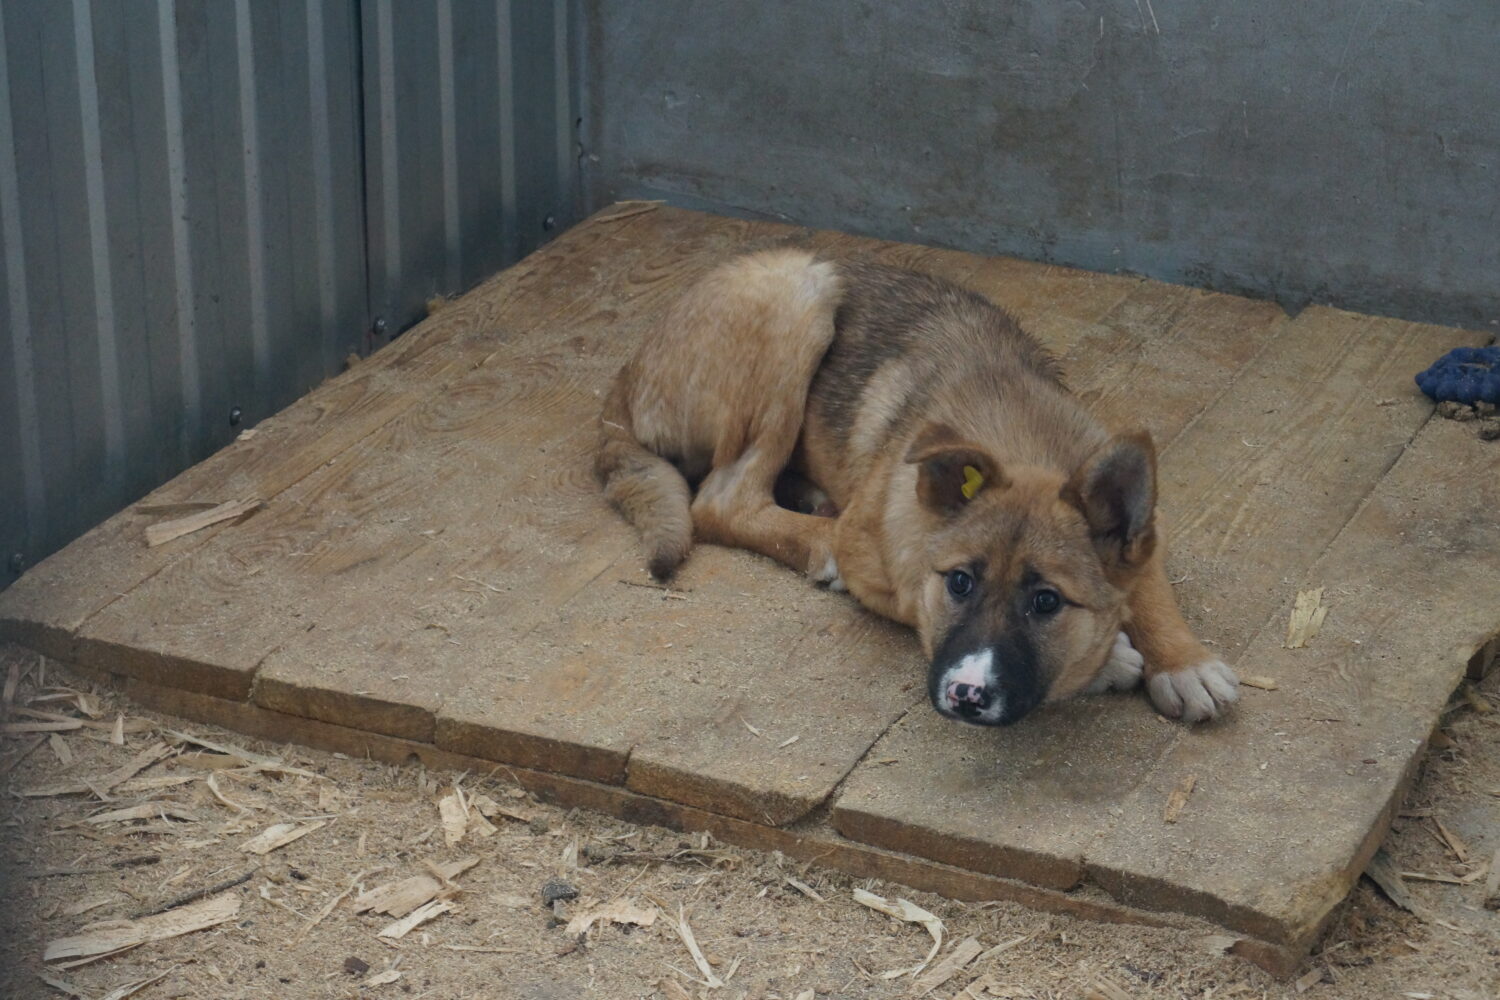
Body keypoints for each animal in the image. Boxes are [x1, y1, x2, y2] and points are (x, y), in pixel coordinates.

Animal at [597, 245, 1242, 722]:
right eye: (960, 583)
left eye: (1045, 601)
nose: (967, 696)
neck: (1019, 442)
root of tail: (627, 375)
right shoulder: (891, 559)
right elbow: (921, 603)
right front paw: (1109, 663)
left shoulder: (1139, 519)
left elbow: (1149, 585)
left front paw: (1182, 660)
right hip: (798, 291)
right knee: (722, 499)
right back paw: (819, 539)